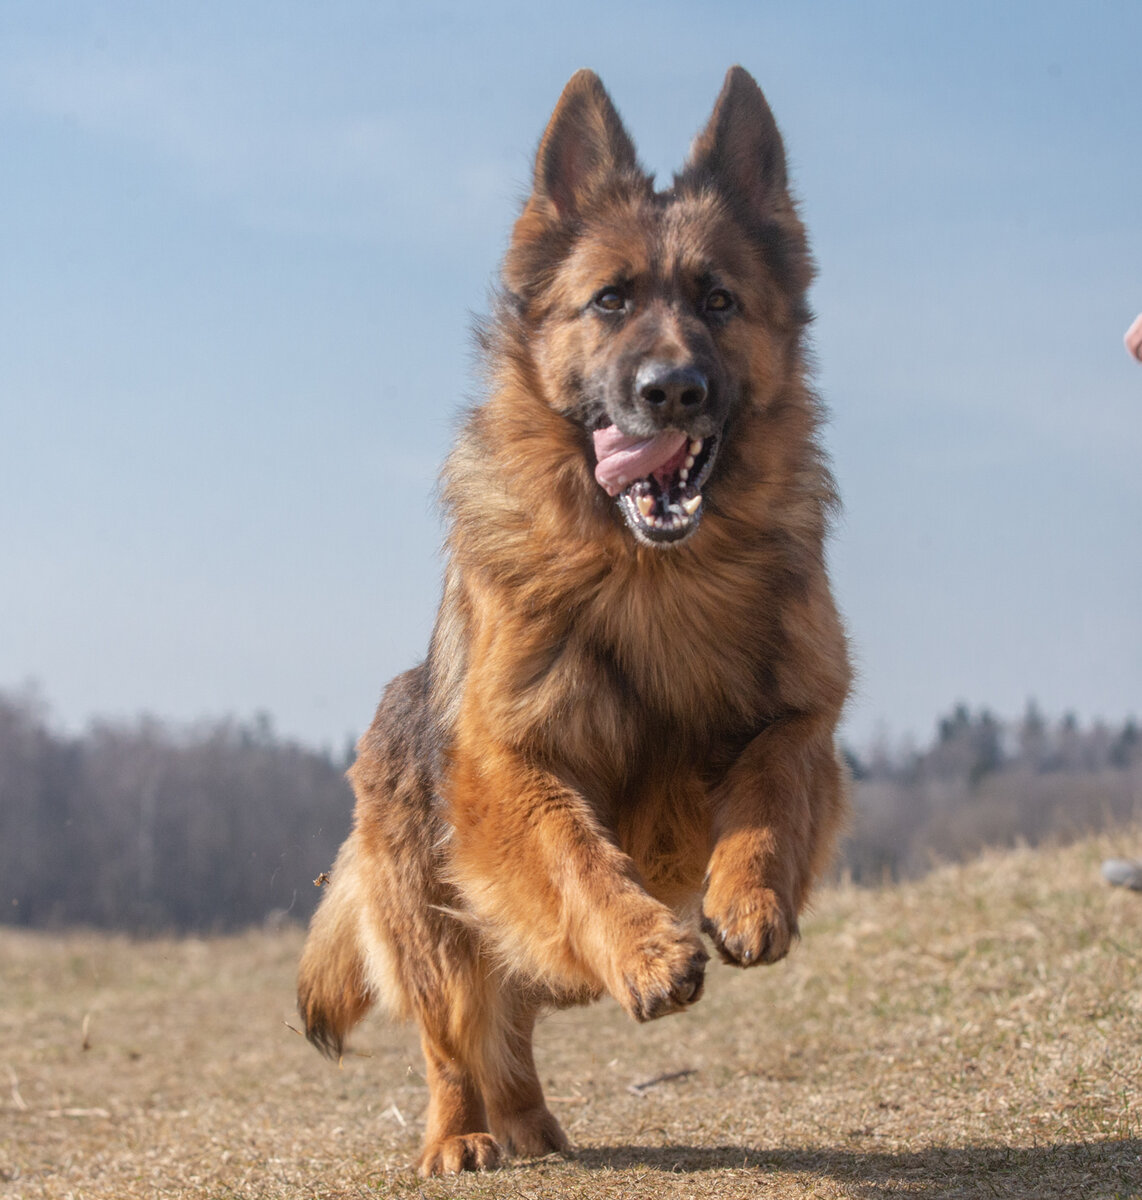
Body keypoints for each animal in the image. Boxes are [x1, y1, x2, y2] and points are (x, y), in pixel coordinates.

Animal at [298, 63, 854, 1171]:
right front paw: (644, 952)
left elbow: (772, 780)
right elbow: (574, 854)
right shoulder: (509, 763)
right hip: (434, 926)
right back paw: (463, 1137)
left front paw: (750, 894)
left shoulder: (805, 712)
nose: (672, 390)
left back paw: (532, 1127)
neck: (653, 576)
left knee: (511, 1027)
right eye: (610, 300)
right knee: (455, 1038)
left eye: (718, 301)